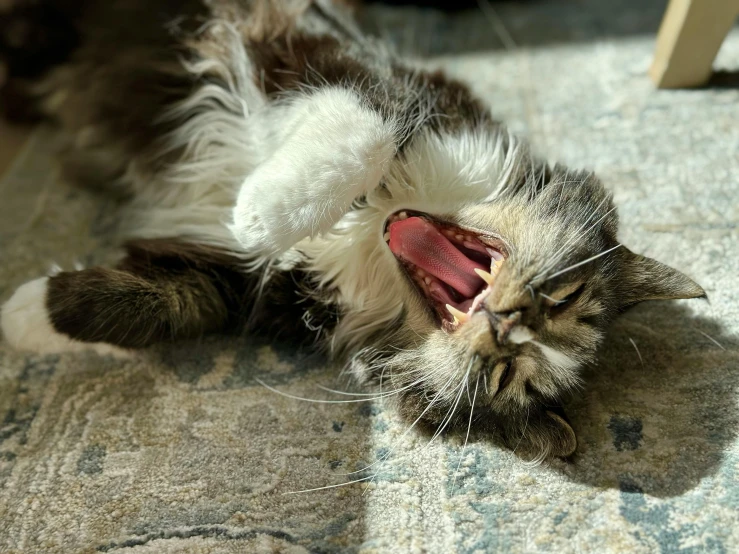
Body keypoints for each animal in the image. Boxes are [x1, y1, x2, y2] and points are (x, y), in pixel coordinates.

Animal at [0, 0, 704, 458]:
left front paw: (22, 316)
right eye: (564, 298)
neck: (372, 229)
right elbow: (370, 125)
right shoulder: (340, 54)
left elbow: (154, 302)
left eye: (509, 378)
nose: (506, 324)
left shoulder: (242, 286)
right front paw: (264, 209)